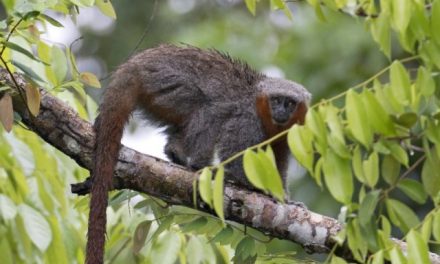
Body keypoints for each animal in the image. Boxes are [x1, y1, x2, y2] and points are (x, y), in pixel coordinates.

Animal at [86, 43, 312, 264]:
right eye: (276, 100)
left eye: (289, 103)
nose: (280, 111)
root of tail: (135, 65)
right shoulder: (247, 119)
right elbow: (234, 152)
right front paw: (258, 190)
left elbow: (279, 164)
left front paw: (285, 199)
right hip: (163, 82)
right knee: (210, 109)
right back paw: (199, 165)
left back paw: (175, 152)